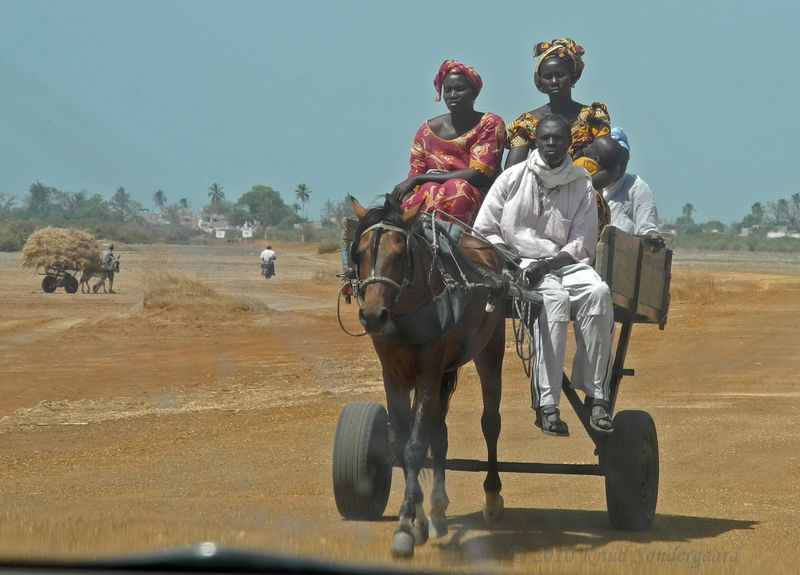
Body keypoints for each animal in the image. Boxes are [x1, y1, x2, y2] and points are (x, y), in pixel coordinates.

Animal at [350, 197, 506, 560]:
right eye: (358, 254)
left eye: (400, 252)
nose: (373, 315)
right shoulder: (393, 375)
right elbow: (402, 443)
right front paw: (419, 520)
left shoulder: (428, 372)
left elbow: (415, 447)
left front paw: (406, 525)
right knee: (441, 433)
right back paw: (437, 509)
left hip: (490, 349)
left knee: (490, 422)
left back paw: (492, 498)